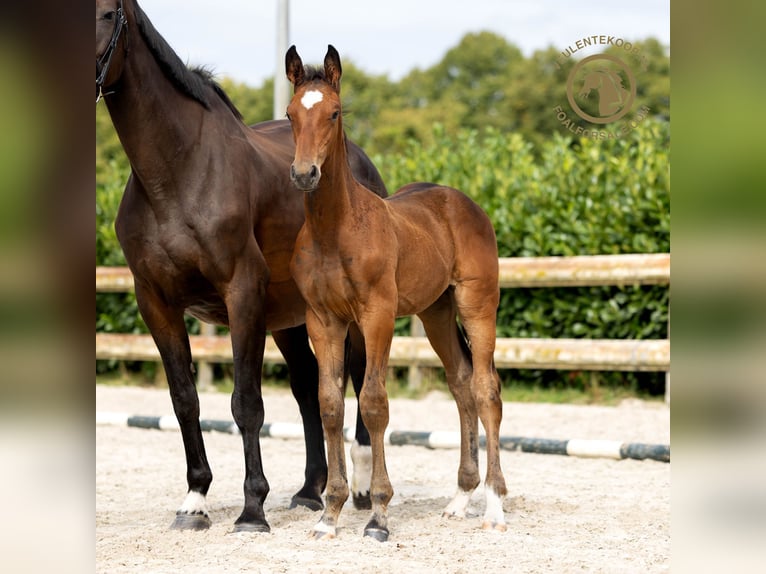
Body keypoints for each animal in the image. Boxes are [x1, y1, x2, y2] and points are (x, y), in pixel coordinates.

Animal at [284, 45, 508, 540]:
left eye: (334, 112)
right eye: (290, 114)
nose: (305, 174)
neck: (336, 230)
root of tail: (462, 202)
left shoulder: (376, 316)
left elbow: (373, 404)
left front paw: (379, 513)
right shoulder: (323, 320)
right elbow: (330, 406)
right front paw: (330, 513)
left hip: (477, 304)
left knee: (485, 388)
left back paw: (494, 505)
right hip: (436, 313)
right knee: (461, 383)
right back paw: (459, 498)